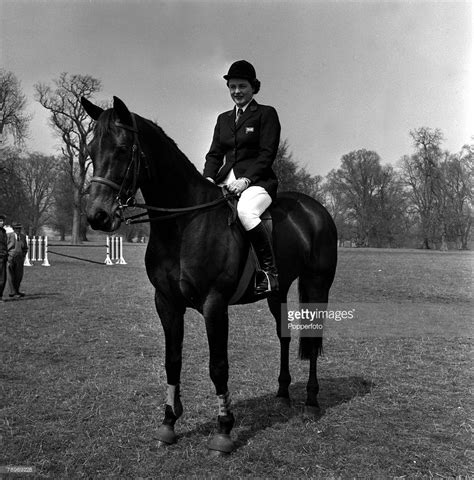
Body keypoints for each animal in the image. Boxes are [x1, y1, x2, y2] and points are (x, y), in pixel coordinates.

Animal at [80, 96, 336, 454]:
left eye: (121, 149)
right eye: (91, 149)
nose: (97, 216)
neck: (182, 224)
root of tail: (316, 209)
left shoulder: (214, 305)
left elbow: (218, 366)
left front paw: (224, 430)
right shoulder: (167, 302)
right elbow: (172, 361)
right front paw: (168, 423)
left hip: (317, 285)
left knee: (312, 340)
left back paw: (311, 402)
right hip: (279, 291)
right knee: (284, 335)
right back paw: (283, 394)